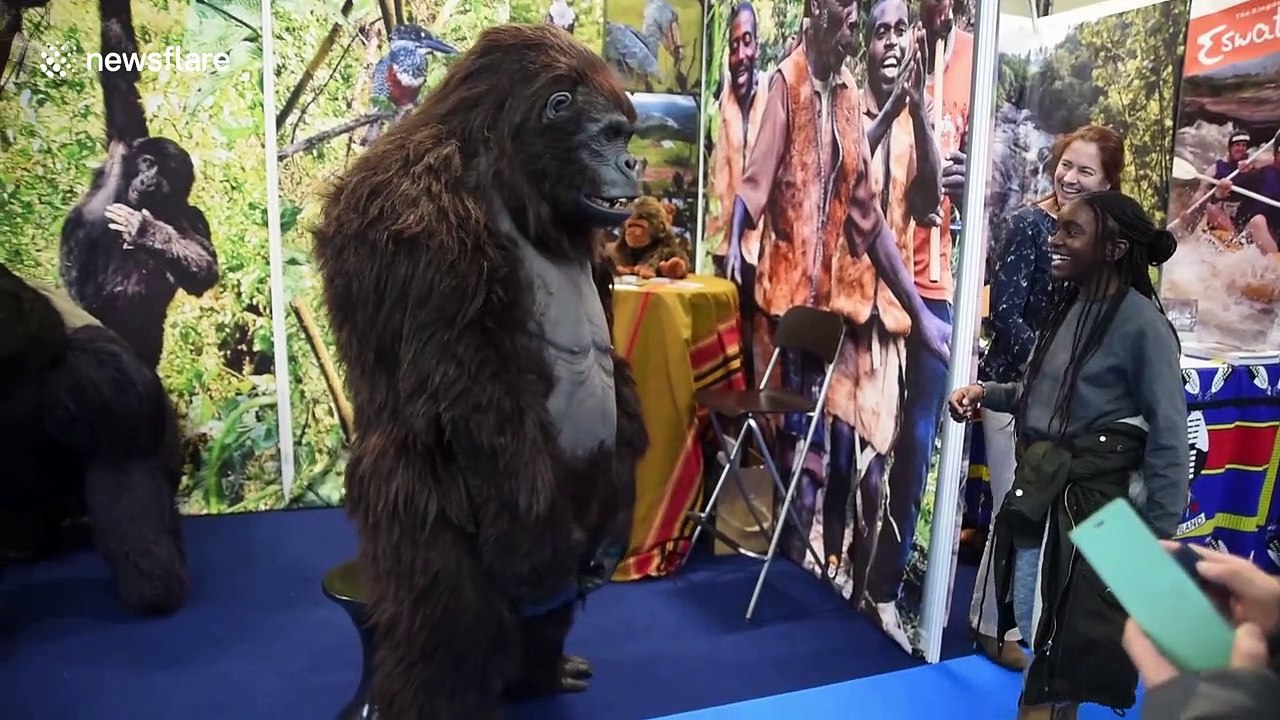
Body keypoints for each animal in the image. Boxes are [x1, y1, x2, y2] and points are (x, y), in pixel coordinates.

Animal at [310, 23, 649, 720]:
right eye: (610, 136)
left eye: (628, 137)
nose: (636, 164)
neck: (508, 169)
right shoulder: (421, 217)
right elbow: (470, 389)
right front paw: (533, 562)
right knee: (450, 627)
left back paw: (539, 673)